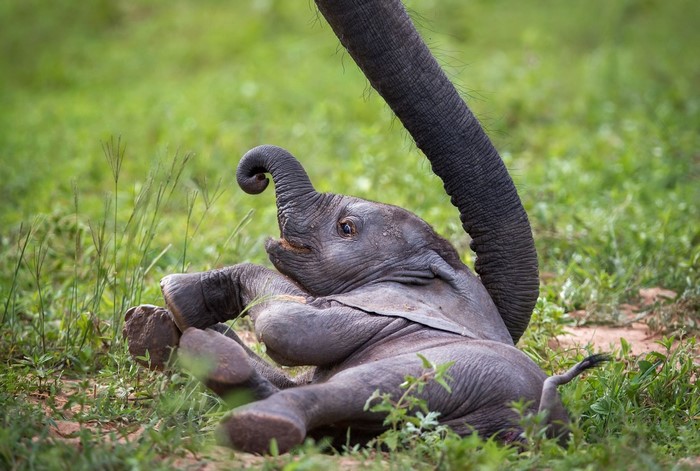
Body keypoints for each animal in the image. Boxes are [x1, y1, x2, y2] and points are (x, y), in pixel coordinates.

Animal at [123, 0, 608, 455]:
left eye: (346, 228)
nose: (255, 175)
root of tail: (534, 421)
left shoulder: (382, 306)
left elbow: (291, 326)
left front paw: (176, 294)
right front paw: (158, 316)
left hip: (457, 372)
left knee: (355, 388)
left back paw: (250, 415)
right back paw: (169, 340)